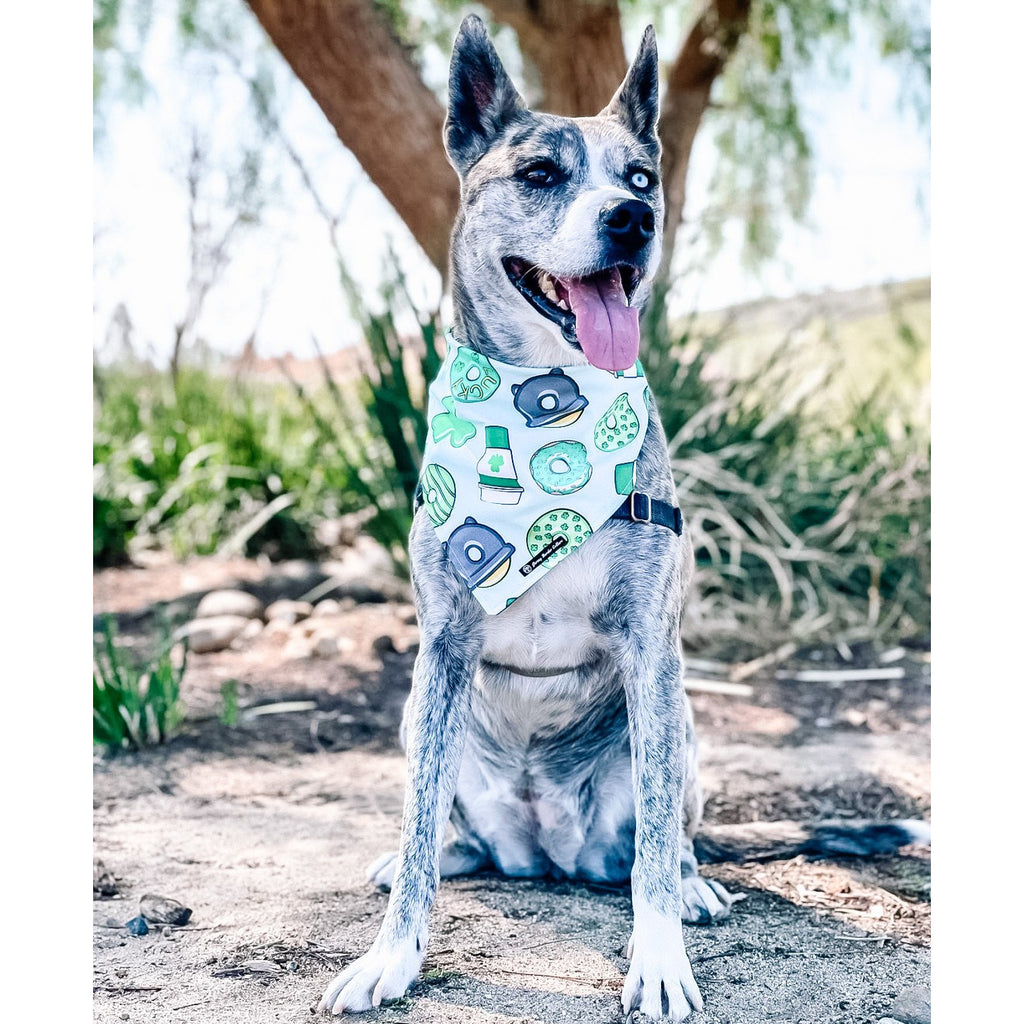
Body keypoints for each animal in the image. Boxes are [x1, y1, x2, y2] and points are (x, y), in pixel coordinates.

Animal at [317, 16, 929, 1024]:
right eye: (538, 173)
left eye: (642, 177)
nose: (631, 222)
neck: (542, 404)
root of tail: (548, 849)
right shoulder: (440, 646)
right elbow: (414, 833)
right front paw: (390, 957)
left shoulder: (651, 646)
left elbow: (646, 859)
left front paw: (662, 959)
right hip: (416, 716)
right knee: (442, 823)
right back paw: (453, 850)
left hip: (682, 724)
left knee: (660, 836)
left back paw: (691, 882)